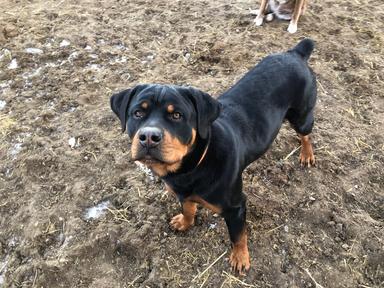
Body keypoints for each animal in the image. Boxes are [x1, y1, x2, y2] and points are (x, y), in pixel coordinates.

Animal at [109, 38, 316, 274]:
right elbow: (188, 208)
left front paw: (240, 257)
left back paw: (306, 154)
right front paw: (184, 222)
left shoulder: (235, 207)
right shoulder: (183, 193)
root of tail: (295, 53)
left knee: (306, 134)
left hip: (302, 114)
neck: (191, 168)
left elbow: (238, 235)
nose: (149, 137)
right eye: (137, 113)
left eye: (177, 115)